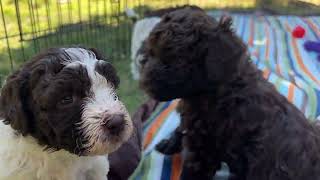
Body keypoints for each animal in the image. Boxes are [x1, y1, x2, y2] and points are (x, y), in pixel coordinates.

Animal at [140, 5, 320, 180]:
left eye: (174, 59)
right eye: (150, 51)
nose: (143, 77)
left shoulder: (204, 150)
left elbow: (191, 172)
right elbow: (180, 126)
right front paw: (170, 143)